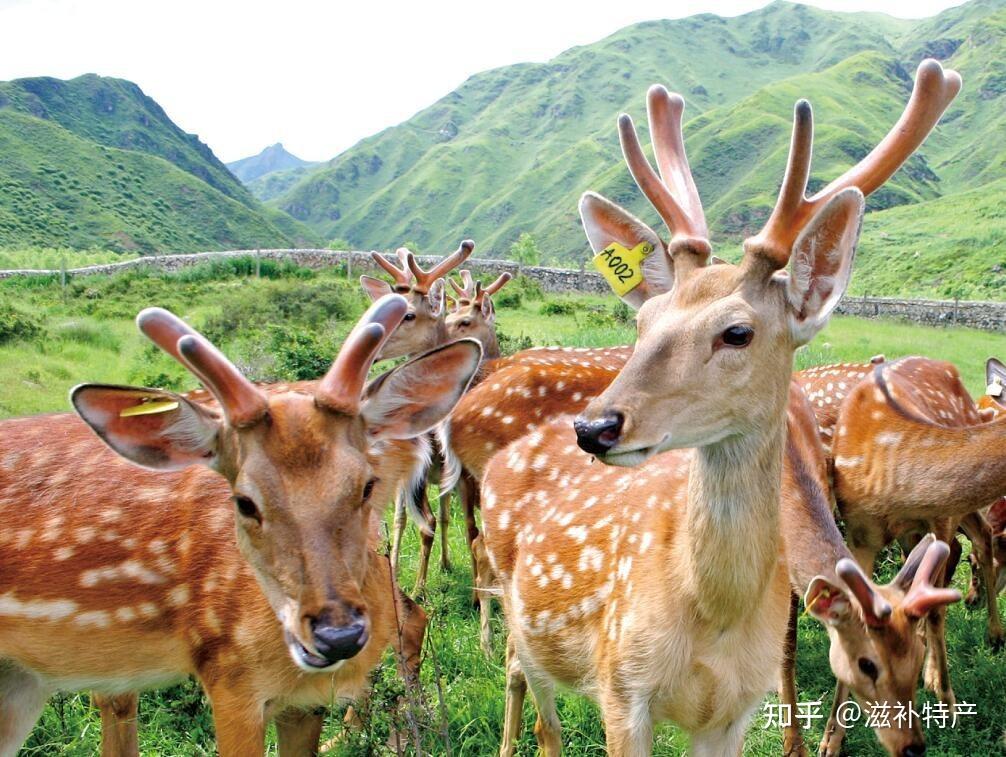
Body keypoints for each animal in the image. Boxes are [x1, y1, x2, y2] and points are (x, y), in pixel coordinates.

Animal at [479, 58, 959, 755]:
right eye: (643, 319)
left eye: (737, 332)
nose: (594, 425)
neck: (713, 618)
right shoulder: (622, 686)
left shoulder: (734, 708)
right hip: (522, 613)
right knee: (537, 705)